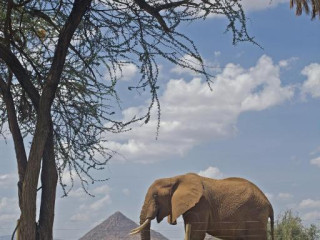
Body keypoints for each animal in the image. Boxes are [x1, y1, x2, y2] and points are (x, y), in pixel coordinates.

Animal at [131, 173, 274, 239]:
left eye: (155, 196)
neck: (175, 178)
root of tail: (269, 204)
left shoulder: (201, 205)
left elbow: (196, 234)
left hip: (255, 216)